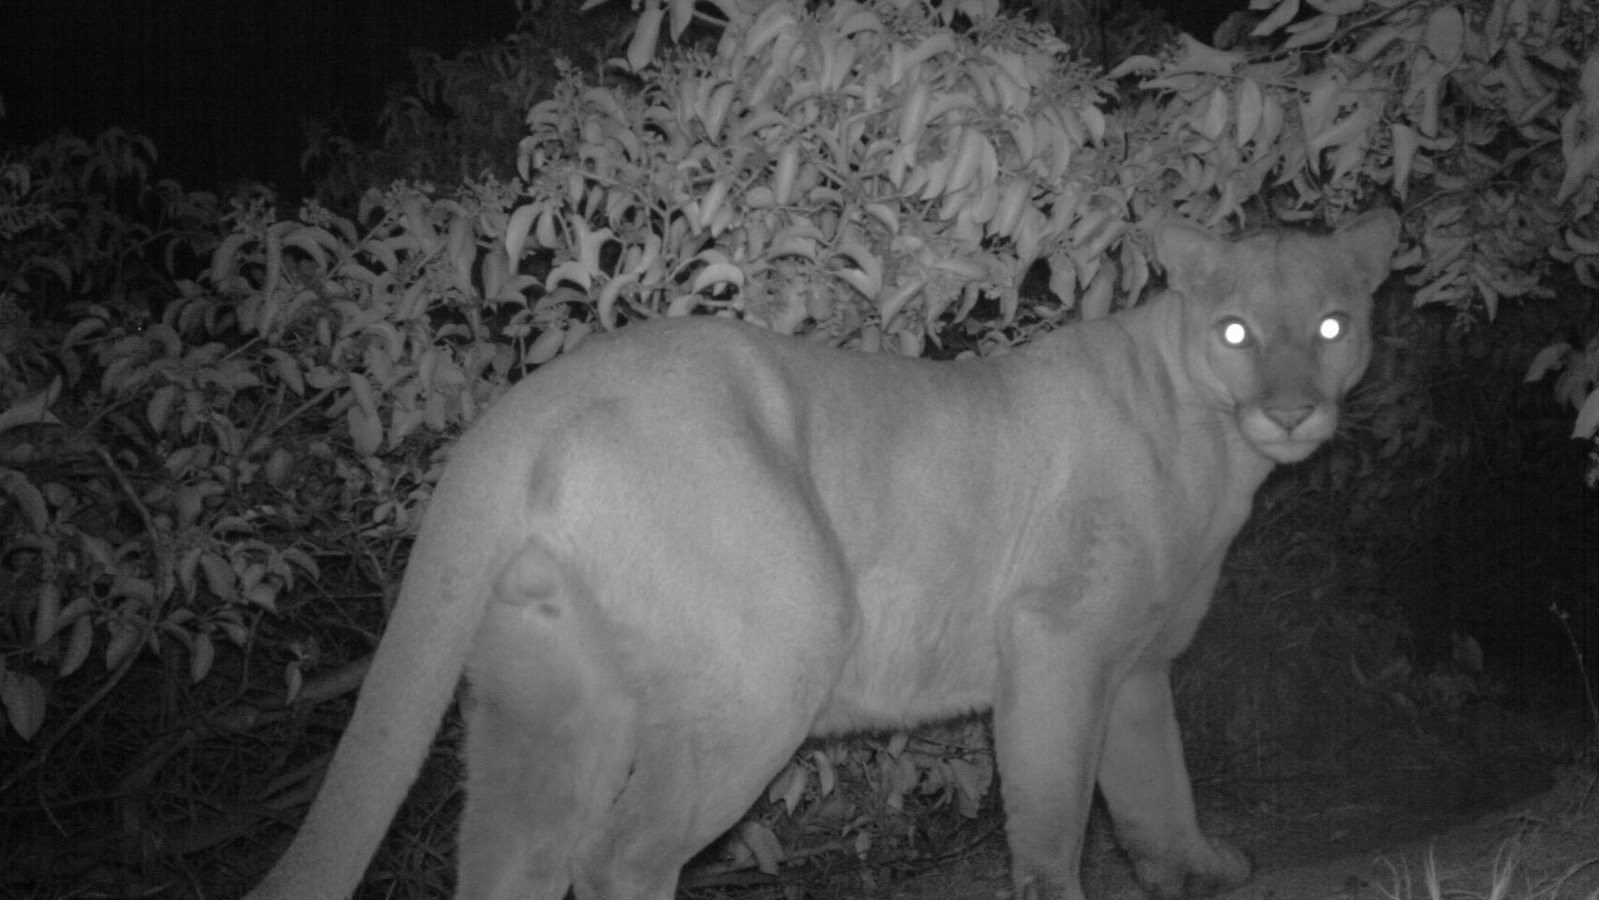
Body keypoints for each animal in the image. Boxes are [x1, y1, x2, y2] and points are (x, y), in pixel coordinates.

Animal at [246, 209, 1400, 900]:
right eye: (1238, 332)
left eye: (1332, 326)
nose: (1290, 412)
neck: (1212, 448)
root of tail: (522, 407)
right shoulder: (1057, 642)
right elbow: (1053, 810)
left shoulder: (1138, 665)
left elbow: (1159, 786)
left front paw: (1199, 868)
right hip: (778, 647)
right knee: (618, 856)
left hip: (554, 703)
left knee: (518, 860)